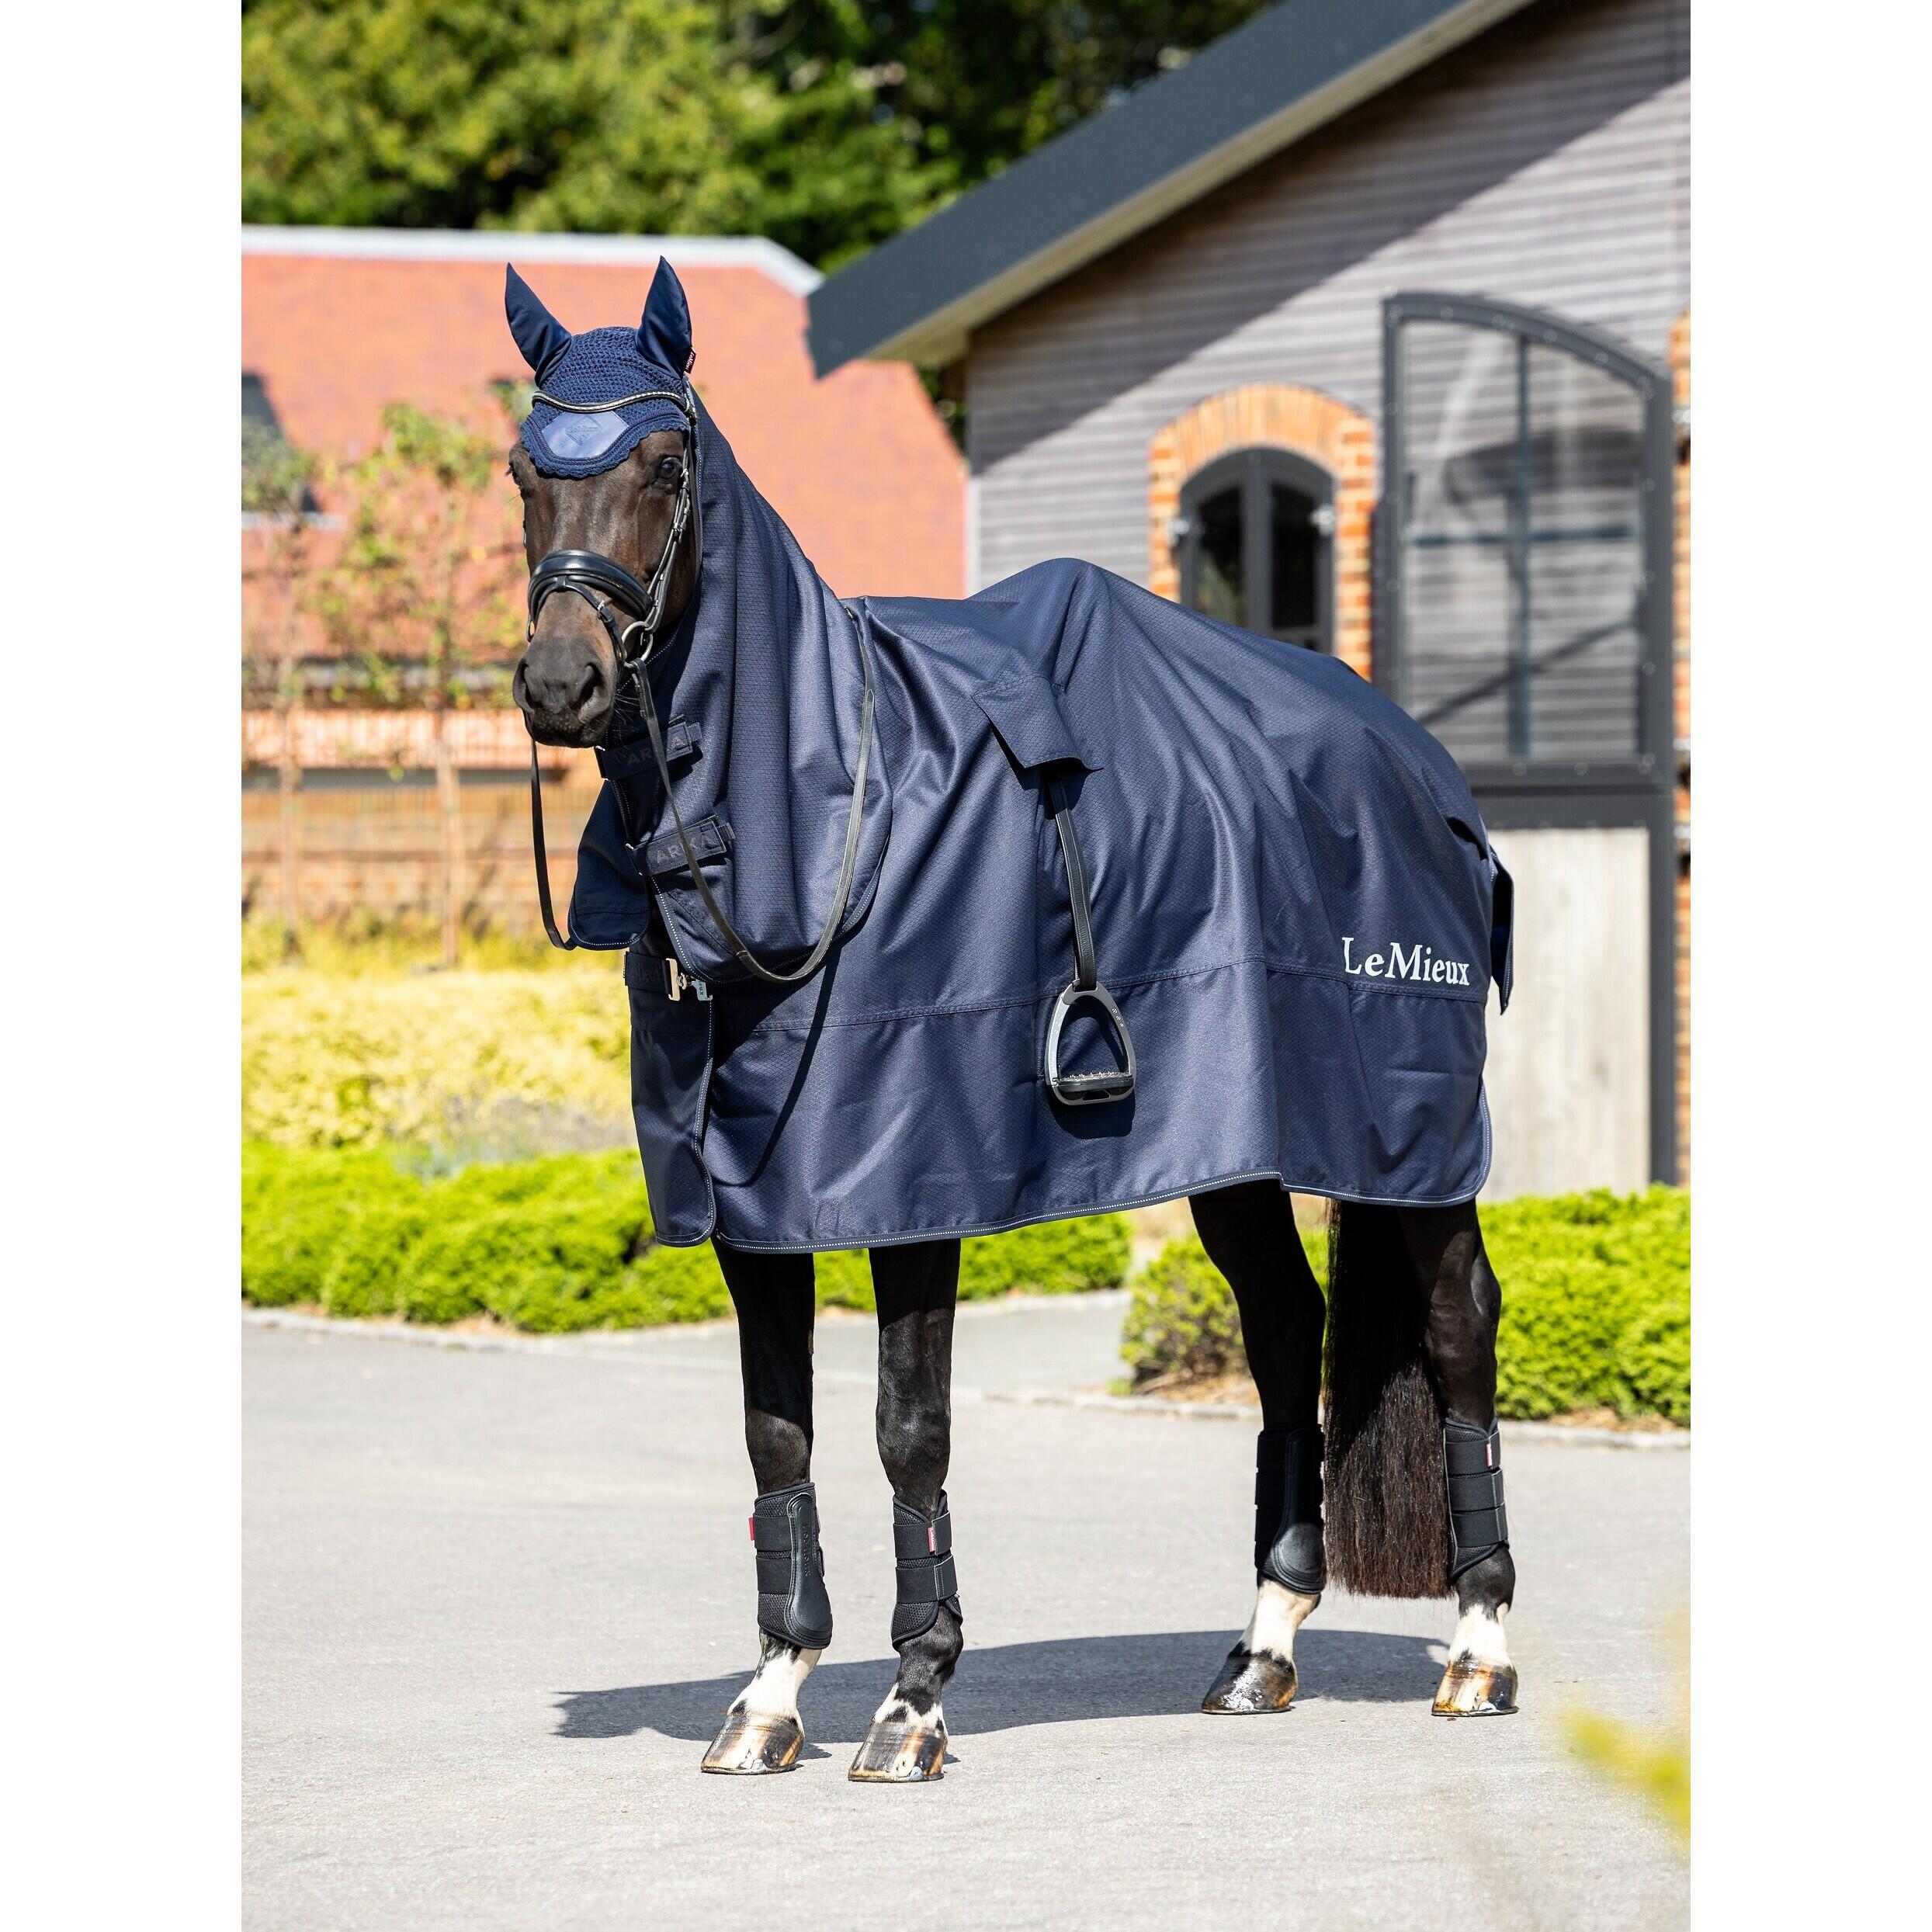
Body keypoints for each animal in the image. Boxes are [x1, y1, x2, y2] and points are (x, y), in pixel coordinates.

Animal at [503, 259, 1517, 1782]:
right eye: (524, 467)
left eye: (663, 462)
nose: (562, 684)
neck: (835, 811)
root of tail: (1415, 761)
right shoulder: (750, 1208)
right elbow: (775, 1436)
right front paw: (772, 1693)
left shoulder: (918, 1190)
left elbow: (904, 1430)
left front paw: (912, 1697)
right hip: (1234, 1149)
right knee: (1284, 1328)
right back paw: (1260, 1647)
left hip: (1415, 1141)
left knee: (1459, 1326)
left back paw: (1477, 1646)